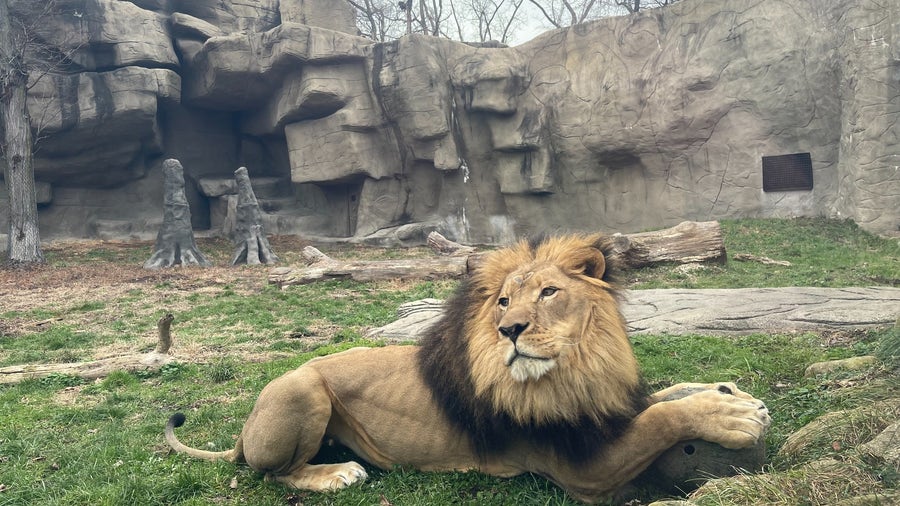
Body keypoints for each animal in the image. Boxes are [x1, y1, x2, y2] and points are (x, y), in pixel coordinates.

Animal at [165, 233, 768, 502]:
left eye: (548, 292)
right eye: (502, 303)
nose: (510, 330)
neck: (579, 362)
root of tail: (245, 429)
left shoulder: (601, 405)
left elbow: (660, 398)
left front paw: (728, 392)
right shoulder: (581, 467)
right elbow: (660, 419)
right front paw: (735, 418)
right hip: (301, 387)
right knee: (272, 472)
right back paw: (336, 473)